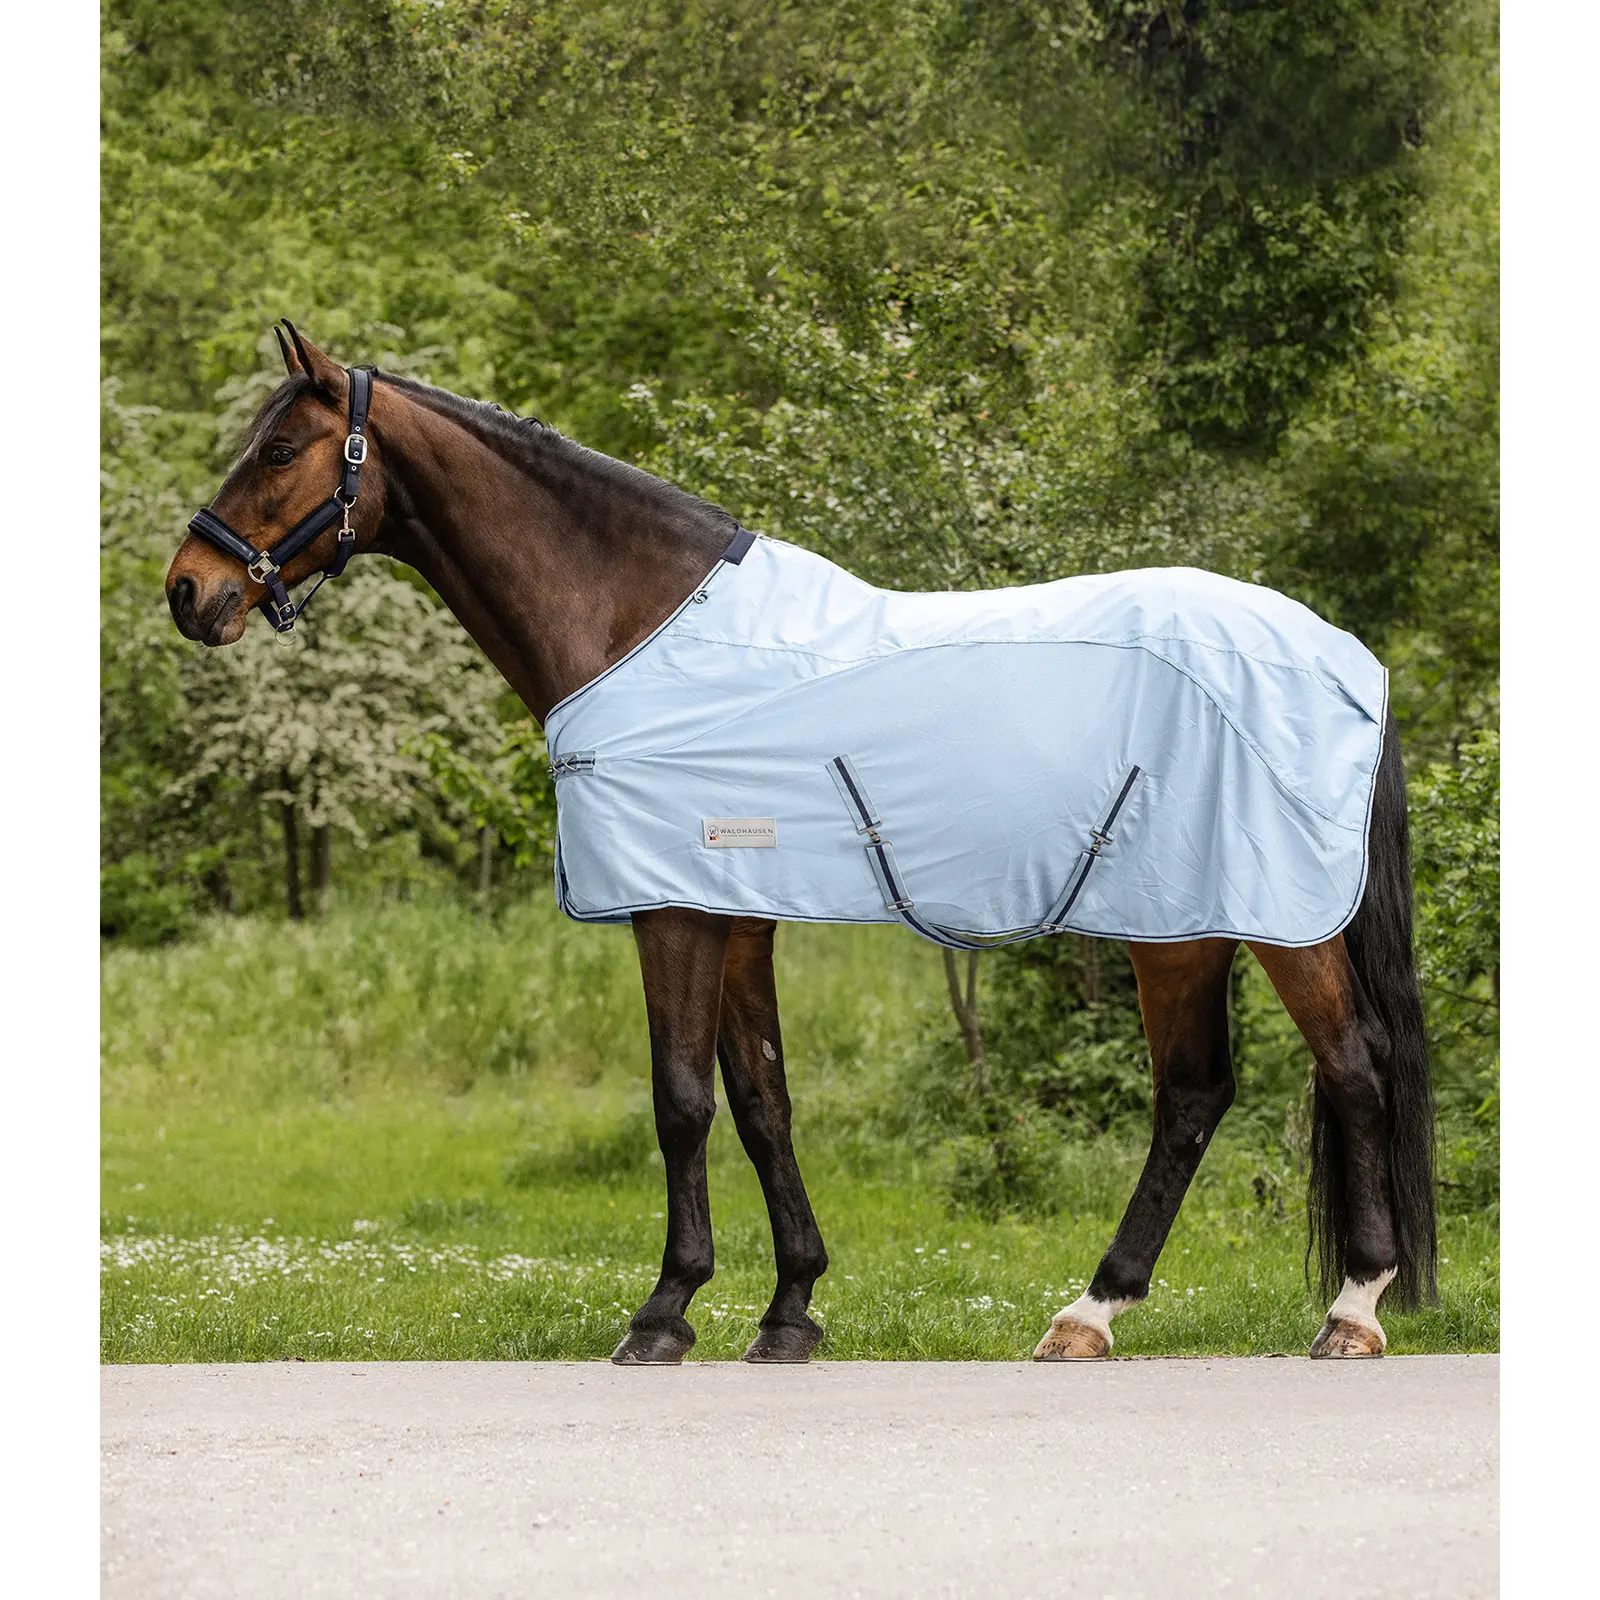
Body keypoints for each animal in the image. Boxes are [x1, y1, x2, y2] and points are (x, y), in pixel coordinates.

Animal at [164, 323, 1436, 1364]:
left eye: (281, 449)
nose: (188, 588)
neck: (640, 627)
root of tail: (1344, 654)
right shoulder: (735, 911)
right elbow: (761, 1096)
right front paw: (789, 1311)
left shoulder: (675, 908)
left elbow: (682, 1097)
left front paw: (664, 1312)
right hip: (1181, 923)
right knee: (1193, 1094)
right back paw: (1092, 1312)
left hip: (1273, 921)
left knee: (1352, 1064)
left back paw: (1351, 1309)